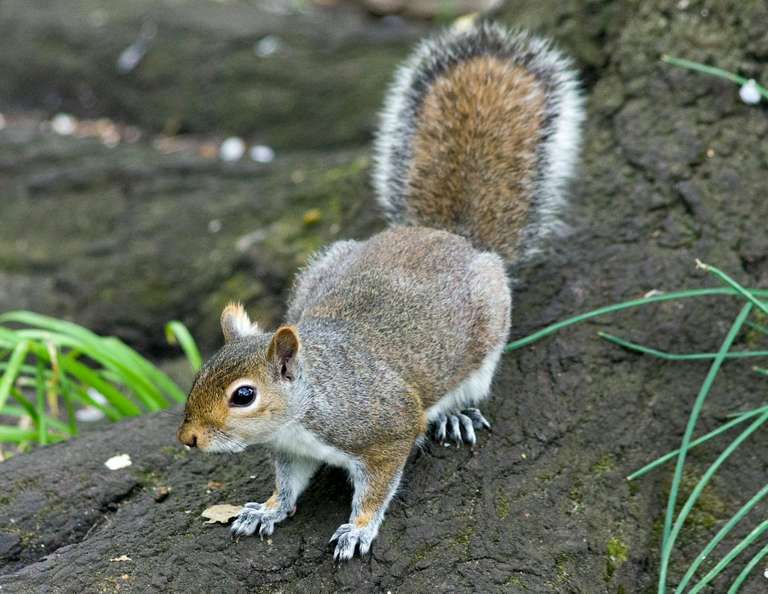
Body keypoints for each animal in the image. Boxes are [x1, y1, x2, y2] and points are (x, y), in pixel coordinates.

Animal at [177, 21, 583, 561]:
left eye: (243, 395)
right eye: (200, 372)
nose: (187, 438)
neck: (309, 401)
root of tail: (446, 235)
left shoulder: (387, 429)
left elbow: (377, 487)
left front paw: (360, 528)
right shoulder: (290, 449)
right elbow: (287, 484)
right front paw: (267, 508)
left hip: (489, 335)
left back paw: (458, 415)